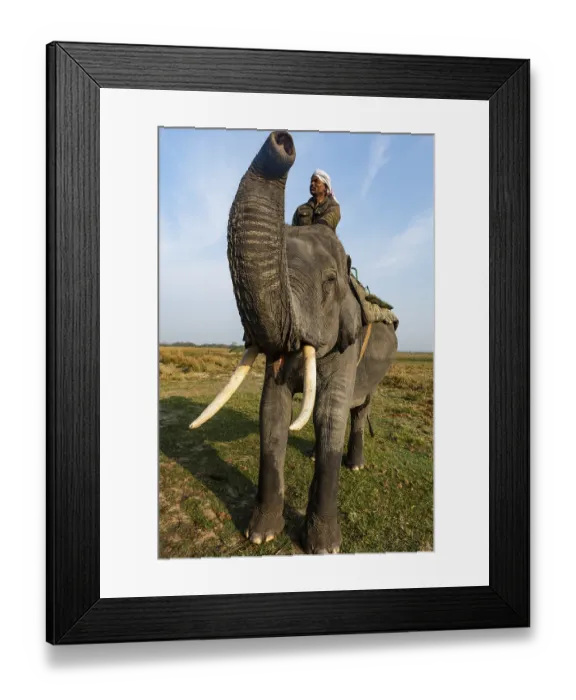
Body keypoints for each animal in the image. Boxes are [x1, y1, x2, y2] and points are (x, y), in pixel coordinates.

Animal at [190, 130, 398, 554]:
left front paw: (324, 547)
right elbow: (272, 411)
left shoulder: (346, 340)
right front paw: (260, 535)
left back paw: (355, 464)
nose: (283, 141)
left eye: (329, 282)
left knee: (357, 409)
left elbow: (329, 414)